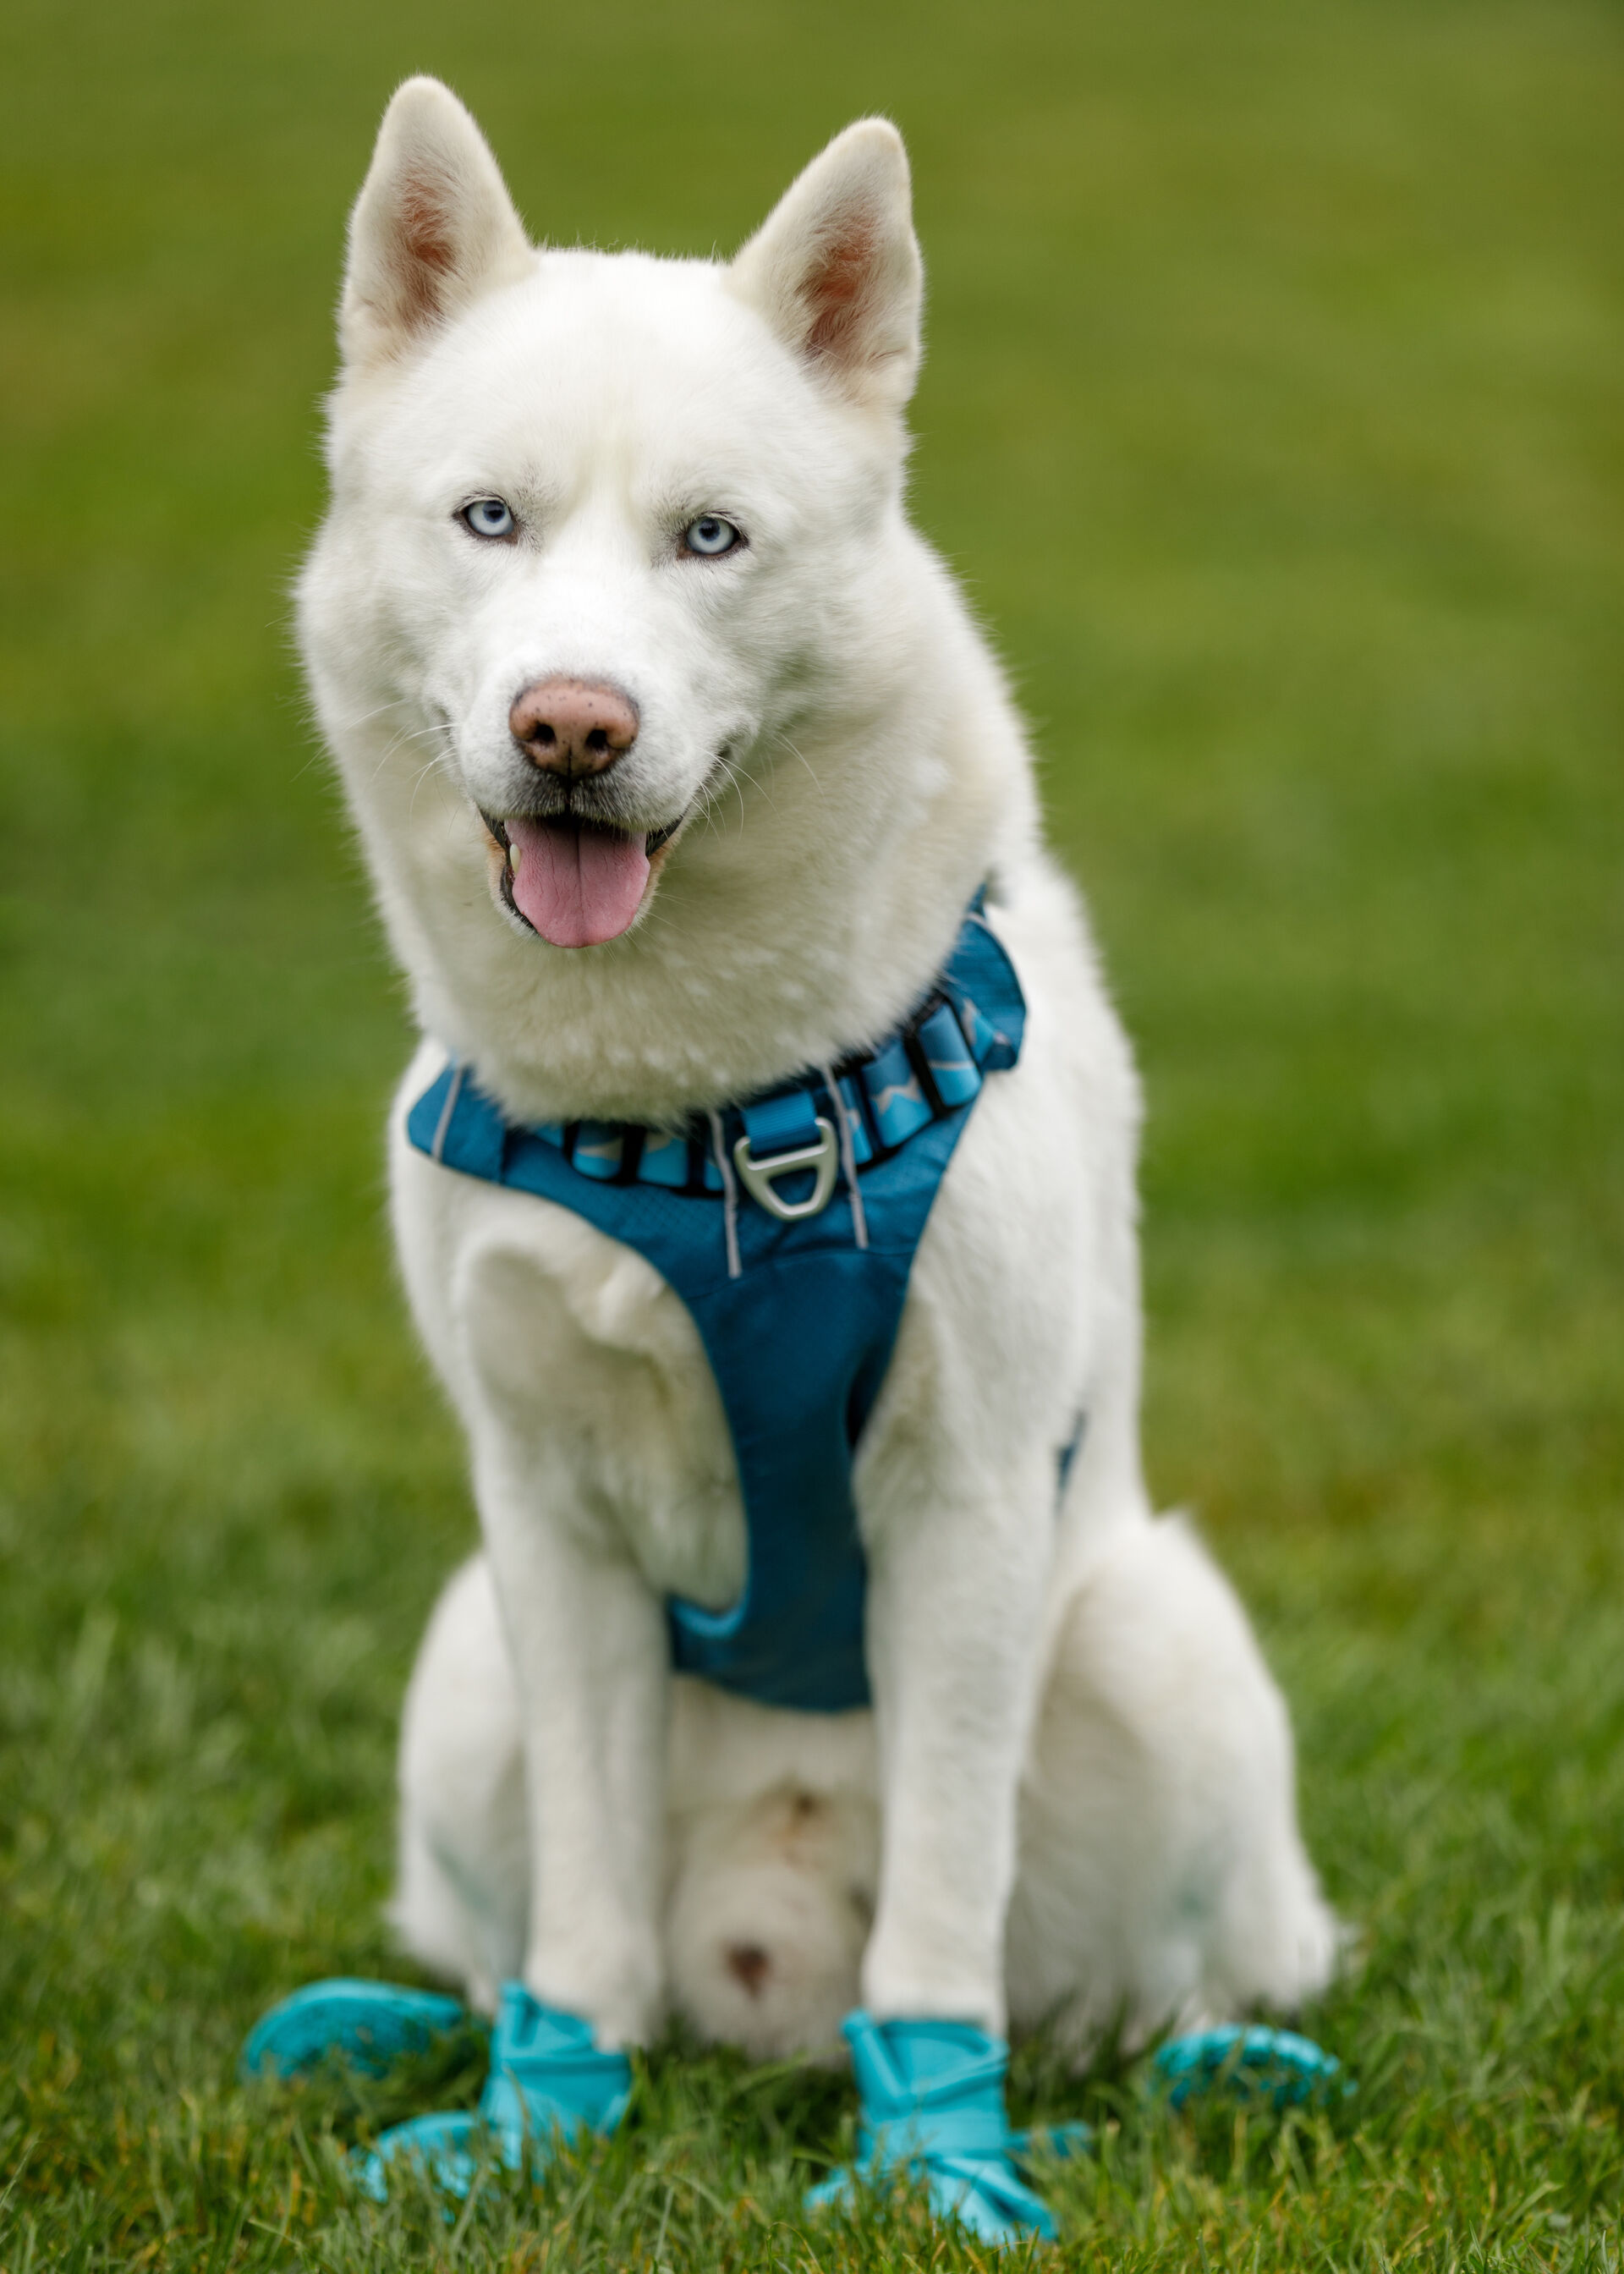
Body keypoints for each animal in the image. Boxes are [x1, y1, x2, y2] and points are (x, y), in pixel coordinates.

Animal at [298, 80, 1337, 2074]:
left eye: (711, 538)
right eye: (489, 520)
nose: (572, 726)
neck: (710, 1109)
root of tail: (766, 1971)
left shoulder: (969, 1500)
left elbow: (938, 1919)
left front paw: (935, 2128)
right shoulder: (543, 1516)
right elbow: (584, 1925)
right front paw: (553, 2097)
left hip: (1157, 1646)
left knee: (1144, 1982)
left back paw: (1171, 2064)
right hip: (465, 1678)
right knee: (514, 1932)